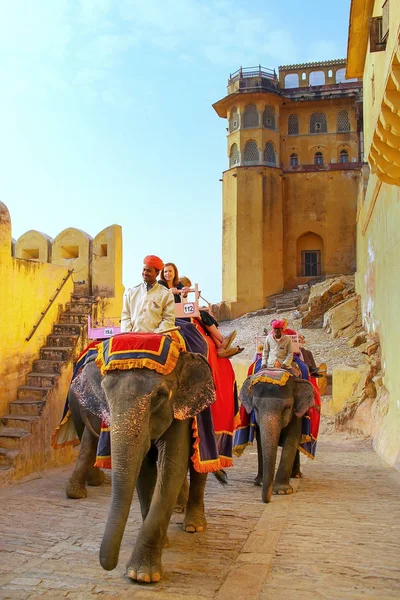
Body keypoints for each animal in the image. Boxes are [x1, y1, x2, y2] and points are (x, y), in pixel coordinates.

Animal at [66, 350, 216, 584]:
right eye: (105, 393)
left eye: (160, 395)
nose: (109, 565)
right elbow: (144, 470)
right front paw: (162, 546)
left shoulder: (179, 411)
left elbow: (172, 466)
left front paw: (142, 575)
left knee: (199, 464)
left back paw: (193, 526)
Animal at [239, 372, 314, 504]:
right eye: (255, 408)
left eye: (287, 407)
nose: (267, 500)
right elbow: (260, 440)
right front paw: (260, 483)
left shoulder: (295, 413)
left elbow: (291, 440)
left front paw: (282, 491)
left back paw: (296, 475)